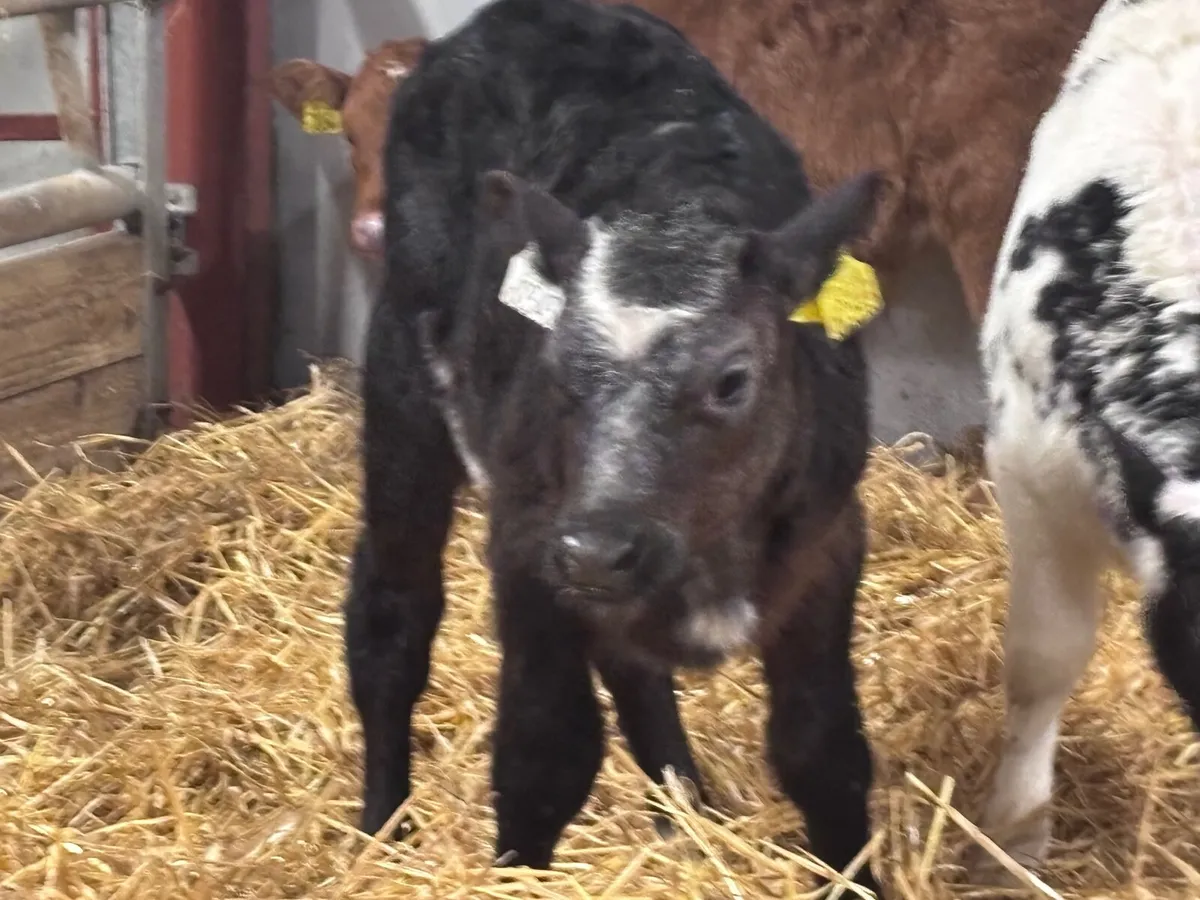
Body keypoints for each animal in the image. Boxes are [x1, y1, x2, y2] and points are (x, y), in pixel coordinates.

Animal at [344, 0, 885, 892]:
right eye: (560, 367)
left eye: (732, 381)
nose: (599, 550)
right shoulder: (532, 541)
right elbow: (543, 755)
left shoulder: (829, 540)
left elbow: (825, 753)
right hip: (401, 364)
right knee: (392, 615)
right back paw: (382, 826)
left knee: (636, 669)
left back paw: (687, 810)